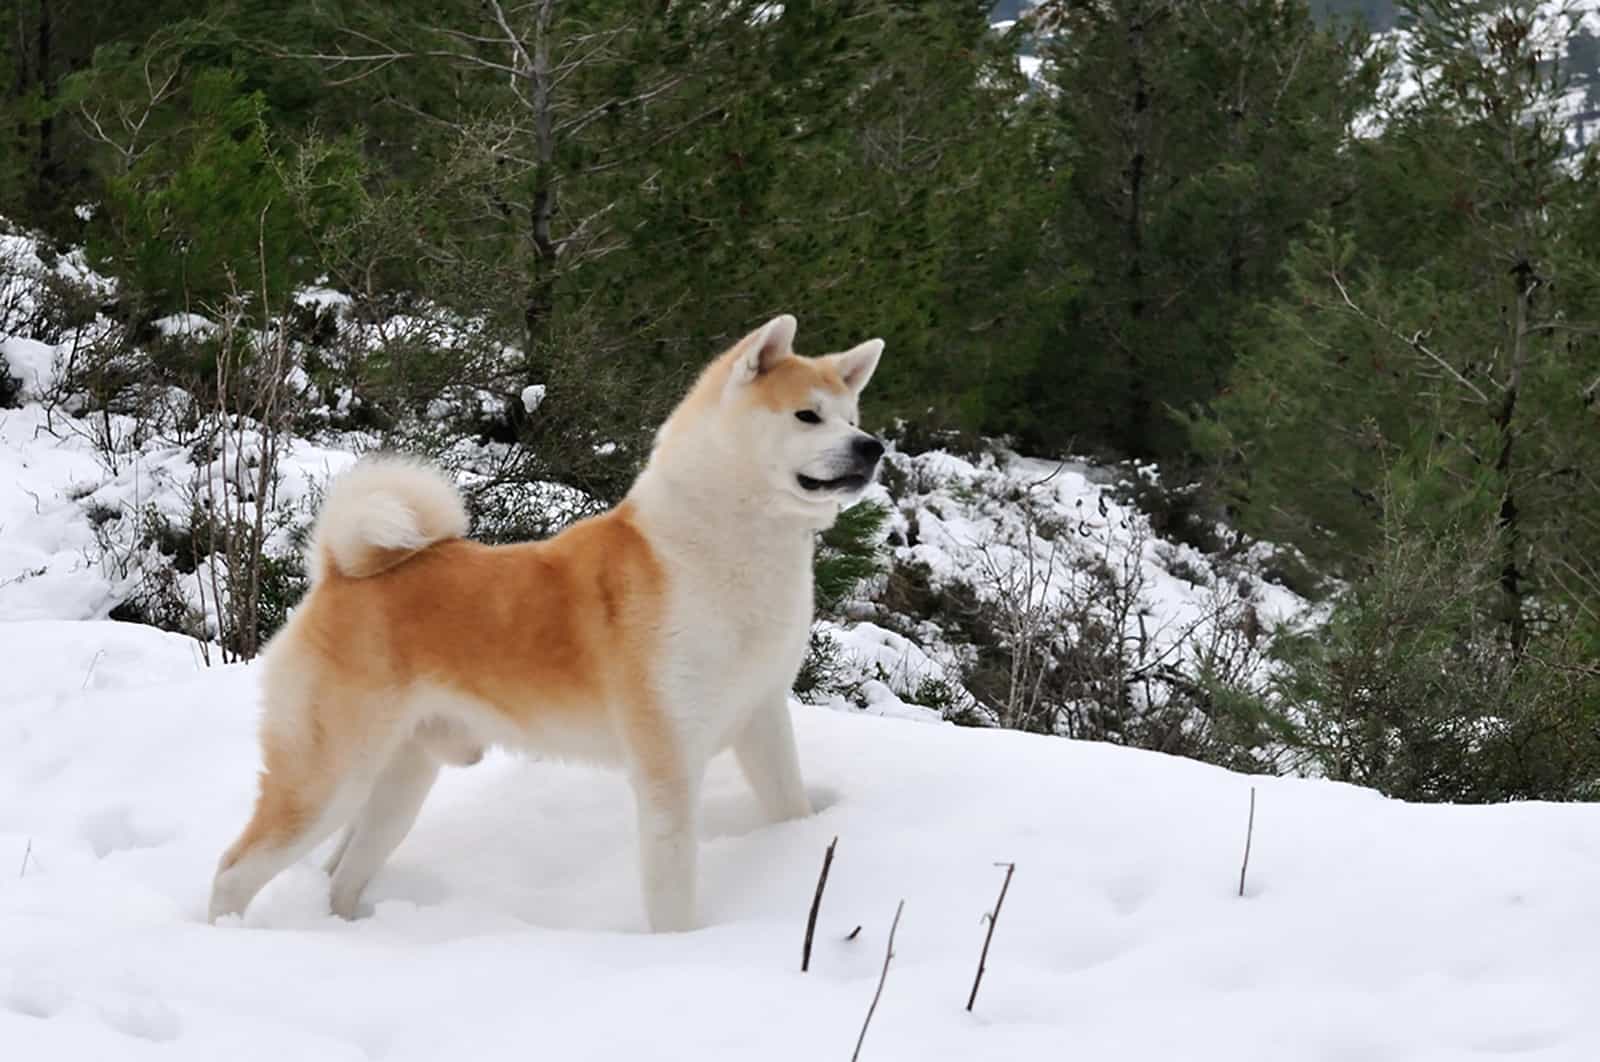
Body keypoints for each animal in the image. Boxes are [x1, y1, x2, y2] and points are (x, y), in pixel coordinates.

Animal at [208, 315, 889, 927]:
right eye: (807, 416)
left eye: (852, 419)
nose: (873, 448)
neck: (728, 550)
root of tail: (340, 570)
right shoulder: (667, 760)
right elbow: (672, 893)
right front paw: (678, 952)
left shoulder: (762, 718)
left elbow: (790, 807)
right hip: (327, 778)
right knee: (234, 870)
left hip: (400, 781)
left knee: (341, 874)